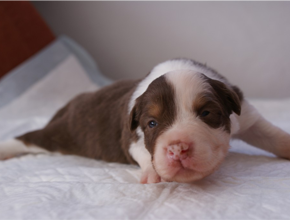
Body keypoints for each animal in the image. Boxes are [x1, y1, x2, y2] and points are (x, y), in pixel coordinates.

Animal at [0, 58, 290, 184]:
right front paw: (152, 172)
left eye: (206, 113)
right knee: (27, 138)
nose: (177, 149)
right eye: (152, 123)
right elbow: (140, 151)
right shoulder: (130, 132)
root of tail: (66, 108)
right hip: (59, 135)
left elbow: (270, 134)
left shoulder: (245, 115)